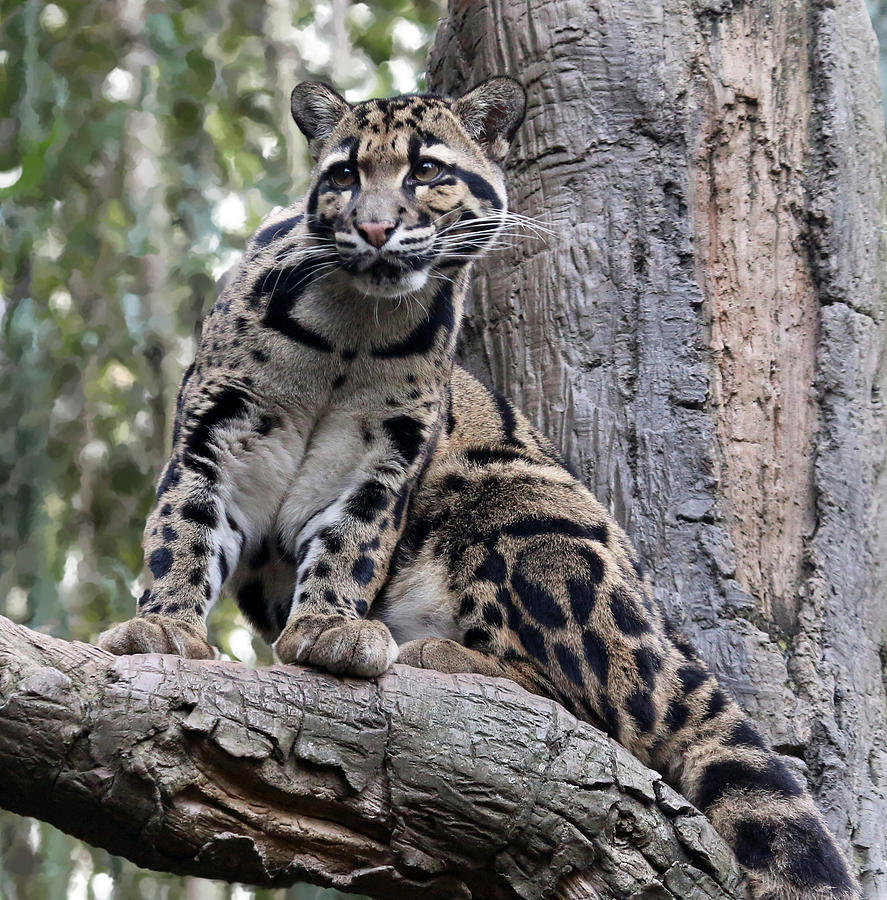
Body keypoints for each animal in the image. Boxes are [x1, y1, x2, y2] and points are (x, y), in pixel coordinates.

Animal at [98, 77, 860, 899]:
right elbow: (181, 530)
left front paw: (327, 628)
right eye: (343, 174)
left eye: (427, 171)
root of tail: (672, 645)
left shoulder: (391, 456)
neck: (354, 327)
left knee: (597, 708)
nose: (374, 227)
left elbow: (353, 543)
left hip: (524, 516)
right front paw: (164, 628)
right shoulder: (212, 434)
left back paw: (440, 657)